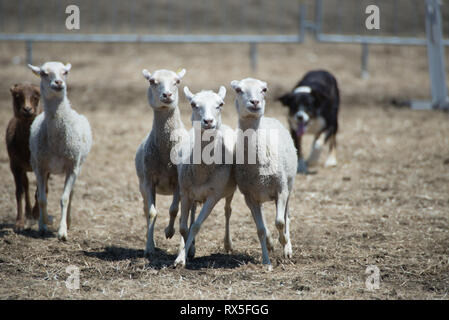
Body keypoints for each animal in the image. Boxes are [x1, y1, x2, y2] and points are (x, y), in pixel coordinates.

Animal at [27, 62, 92, 240]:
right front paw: (43, 225)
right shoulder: (40, 167)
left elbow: (64, 198)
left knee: (71, 193)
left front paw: (62, 232)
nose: (58, 83)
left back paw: (68, 222)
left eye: (65, 72)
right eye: (43, 73)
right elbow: (42, 198)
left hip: (78, 165)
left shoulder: (72, 167)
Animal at [134, 68, 188, 258]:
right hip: (143, 185)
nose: (167, 95)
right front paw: (149, 247)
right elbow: (151, 213)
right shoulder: (149, 180)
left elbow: (174, 210)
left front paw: (169, 232)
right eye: (152, 81)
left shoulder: (178, 182)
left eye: (177, 81)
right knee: (145, 209)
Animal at [172, 85, 234, 268]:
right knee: (190, 214)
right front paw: (186, 251)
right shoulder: (185, 192)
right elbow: (184, 227)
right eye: (193, 104)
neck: (202, 172)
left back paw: (228, 244)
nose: (208, 121)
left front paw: (183, 256)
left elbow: (196, 226)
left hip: (229, 191)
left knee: (228, 211)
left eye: (220, 104)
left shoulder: (213, 195)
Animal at [229, 77, 296, 270]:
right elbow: (260, 230)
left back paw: (287, 248)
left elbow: (280, 221)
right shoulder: (249, 197)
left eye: (264, 89)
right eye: (238, 90)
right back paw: (271, 244)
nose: (255, 102)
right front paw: (267, 262)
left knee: (286, 216)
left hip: (289, 185)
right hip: (260, 194)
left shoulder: (281, 188)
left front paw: (284, 241)